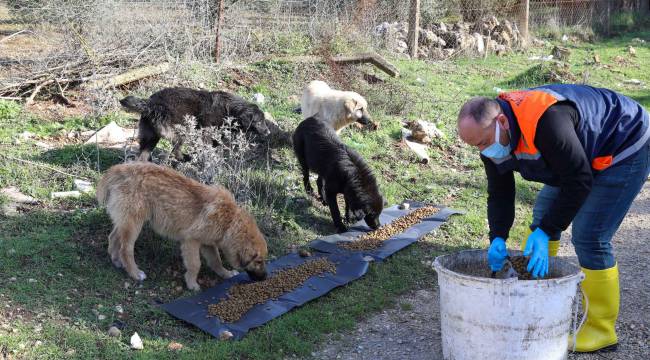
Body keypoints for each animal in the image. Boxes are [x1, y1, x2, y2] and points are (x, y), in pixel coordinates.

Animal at [95, 162, 266, 290]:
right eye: (258, 261)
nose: (265, 278)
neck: (230, 222)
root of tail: (119, 170)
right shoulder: (191, 241)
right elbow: (195, 264)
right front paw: (192, 284)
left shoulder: (208, 243)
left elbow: (216, 261)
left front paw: (226, 274)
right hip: (133, 224)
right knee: (126, 249)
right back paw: (135, 273)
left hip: (125, 220)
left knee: (113, 237)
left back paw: (117, 261)